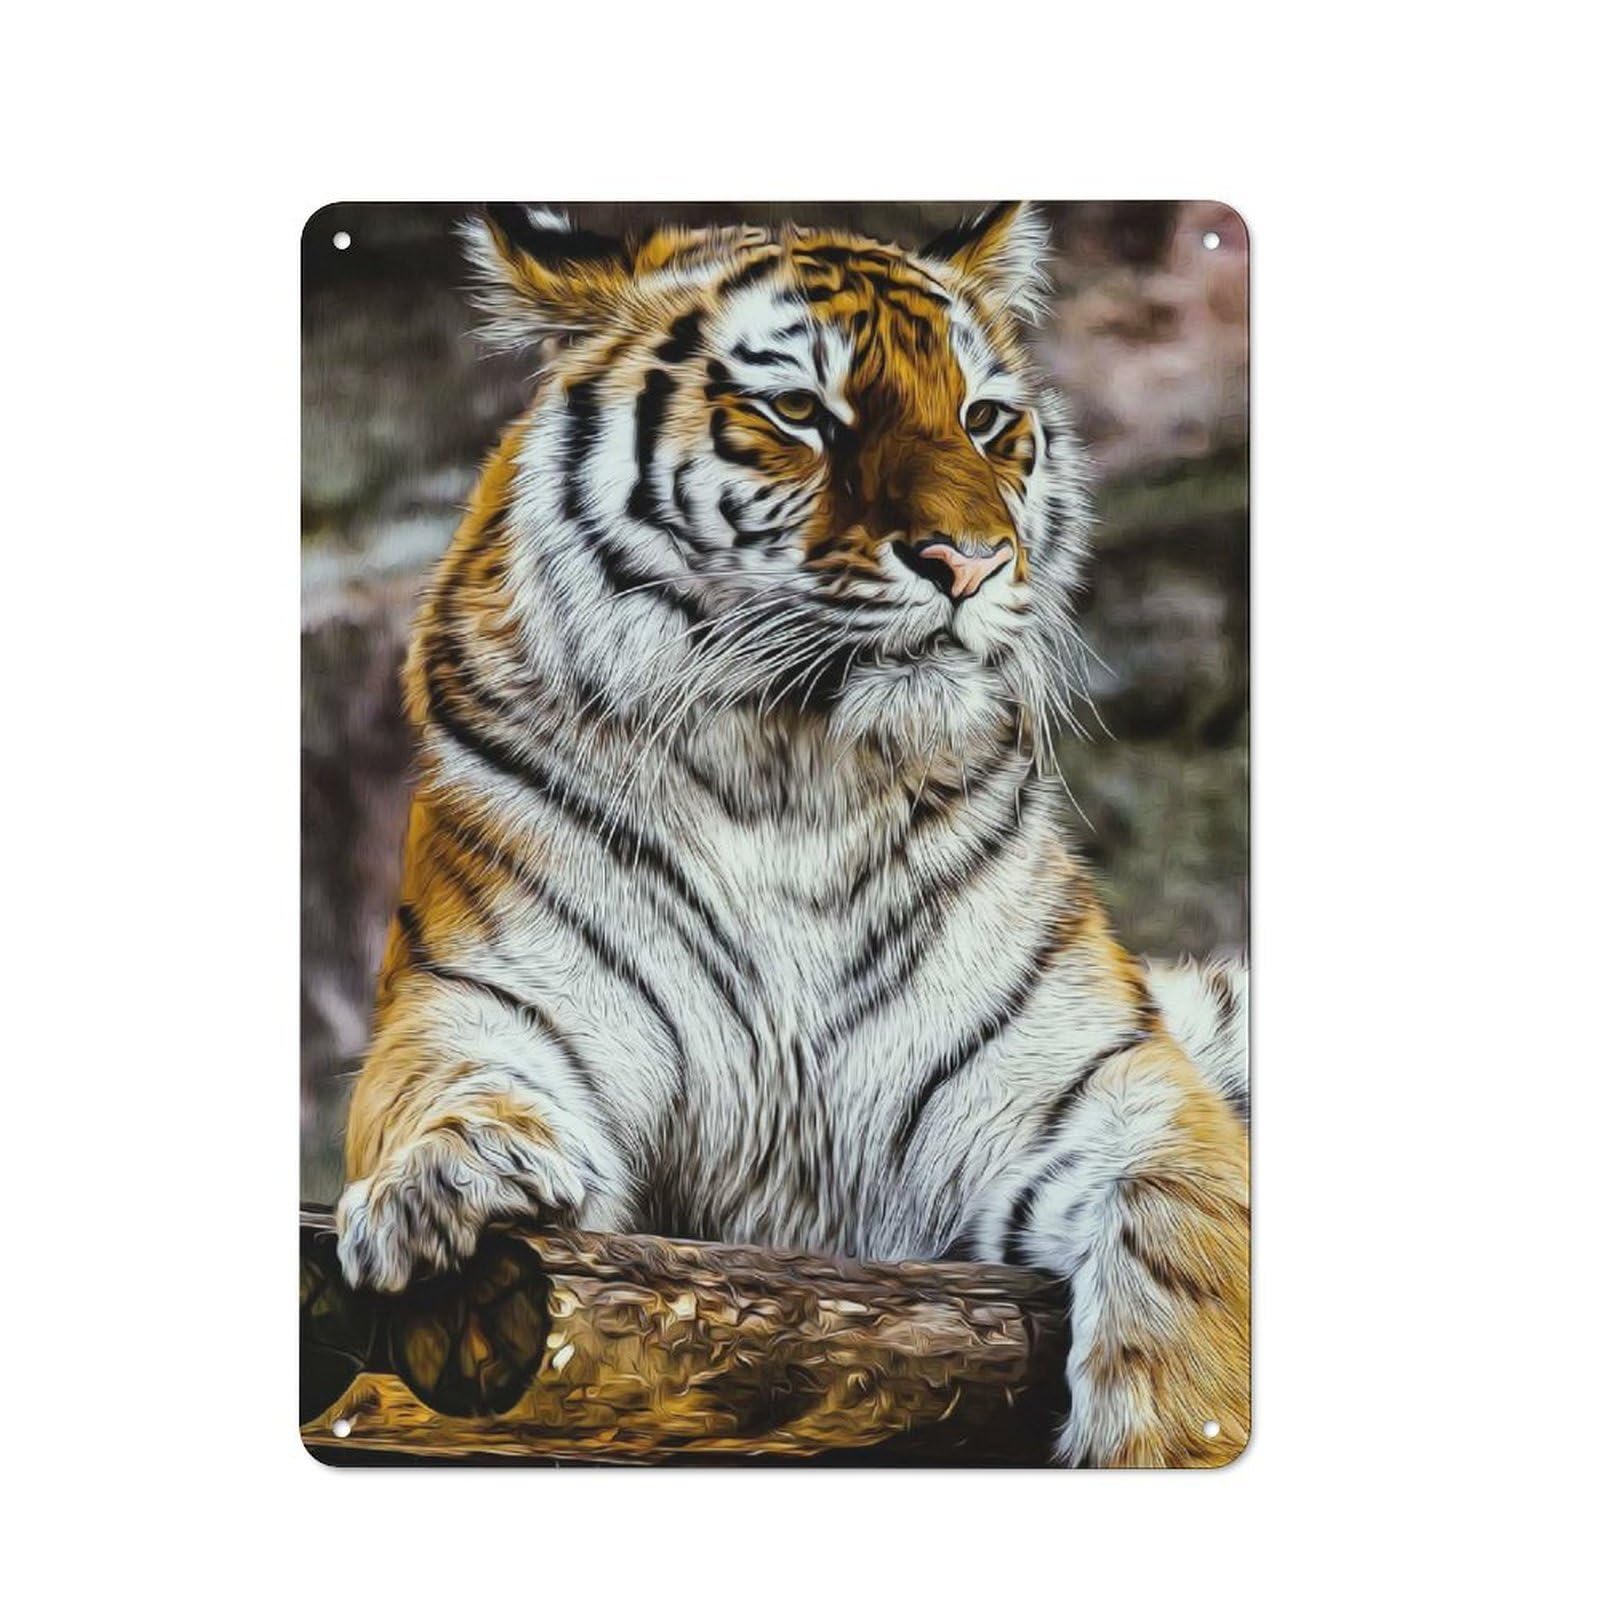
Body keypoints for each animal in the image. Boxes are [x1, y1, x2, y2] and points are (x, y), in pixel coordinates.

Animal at [334, 201, 1251, 1468]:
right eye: (801, 413)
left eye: (985, 421)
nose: (970, 560)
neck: (791, 778)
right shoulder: (481, 994)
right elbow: (444, 1082)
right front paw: (445, 1186)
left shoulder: (1108, 1081)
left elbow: (1193, 1263)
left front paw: (1176, 1435)